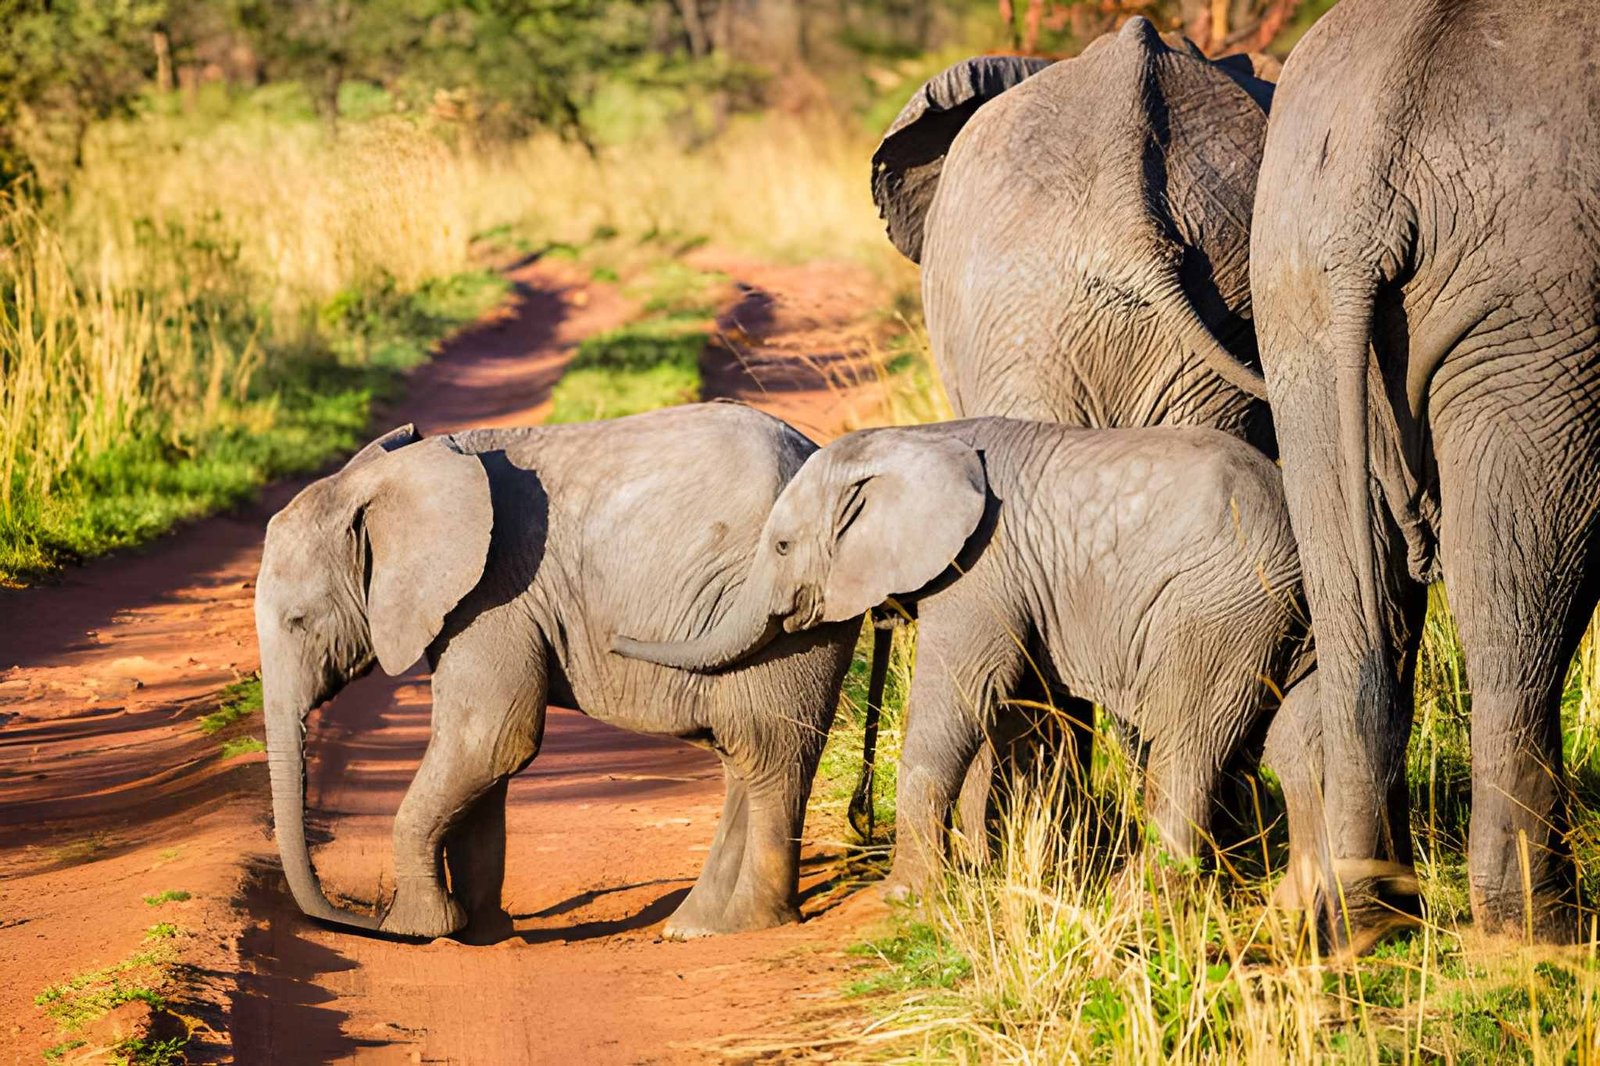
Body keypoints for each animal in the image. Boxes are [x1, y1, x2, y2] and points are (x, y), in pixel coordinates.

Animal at [255, 403, 861, 942]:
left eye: (298, 621)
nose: (357, 919)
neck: (390, 477)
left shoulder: (493, 593)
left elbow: (492, 738)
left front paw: (417, 929)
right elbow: (484, 758)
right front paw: (481, 935)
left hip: (786, 605)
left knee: (766, 753)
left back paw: (745, 925)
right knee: (748, 756)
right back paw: (697, 926)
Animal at [614, 419, 1314, 893]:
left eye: (782, 546)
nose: (616, 640)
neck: (920, 439)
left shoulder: (980, 568)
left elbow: (960, 697)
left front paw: (906, 895)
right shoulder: (1017, 581)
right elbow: (1022, 712)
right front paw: (1016, 867)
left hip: (1221, 605)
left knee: (1188, 741)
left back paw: (1137, 901)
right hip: (1278, 619)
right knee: (1298, 738)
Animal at [1250, 0, 1600, 944]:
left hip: (1295, 303)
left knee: (1358, 613)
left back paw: (1367, 919)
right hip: (1537, 320)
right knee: (1517, 620)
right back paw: (1542, 937)